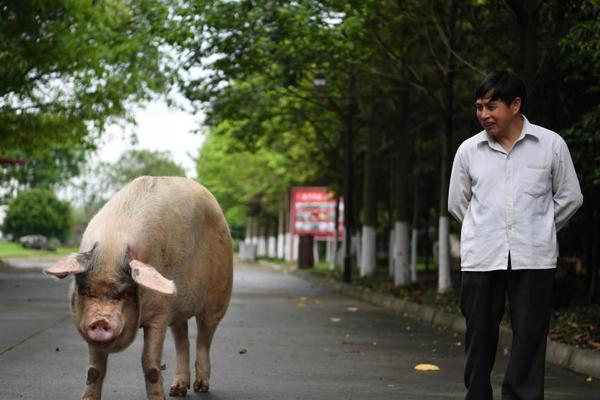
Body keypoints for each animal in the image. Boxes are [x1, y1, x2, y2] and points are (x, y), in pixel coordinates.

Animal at [42, 177, 232, 400]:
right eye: (86, 290)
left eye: (124, 293)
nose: (100, 321)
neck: (111, 250)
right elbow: (94, 369)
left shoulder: (160, 314)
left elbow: (150, 364)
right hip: (178, 309)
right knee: (182, 339)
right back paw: (177, 390)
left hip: (218, 292)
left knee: (204, 338)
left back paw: (201, 387)